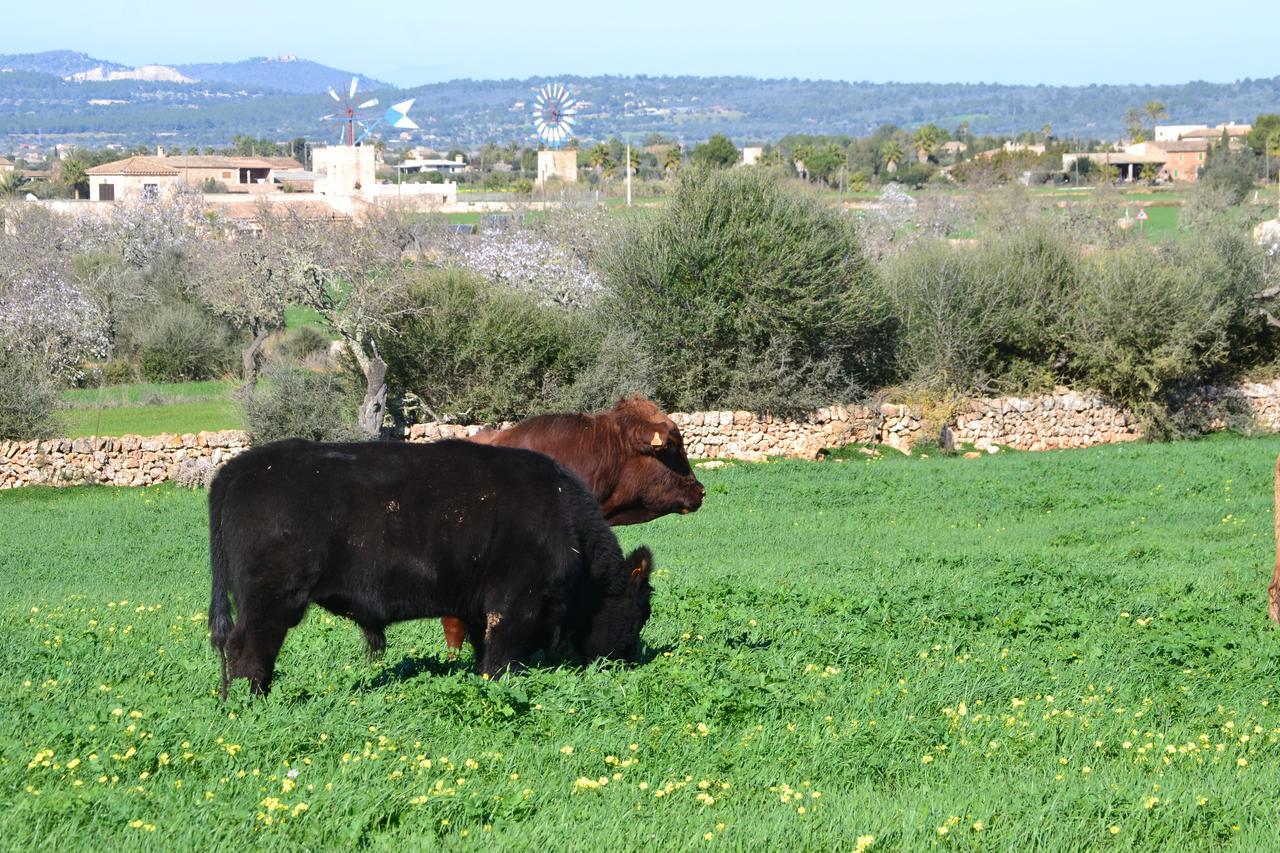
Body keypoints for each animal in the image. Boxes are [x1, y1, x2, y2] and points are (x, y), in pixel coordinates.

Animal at [208, 435, 655, 696]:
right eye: (641, 613)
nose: (628, 657)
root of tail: (239, 467)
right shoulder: (515, 601)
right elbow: (501, 655)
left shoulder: (479, 608)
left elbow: (483, 648)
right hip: (272, 600)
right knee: (249, 650)